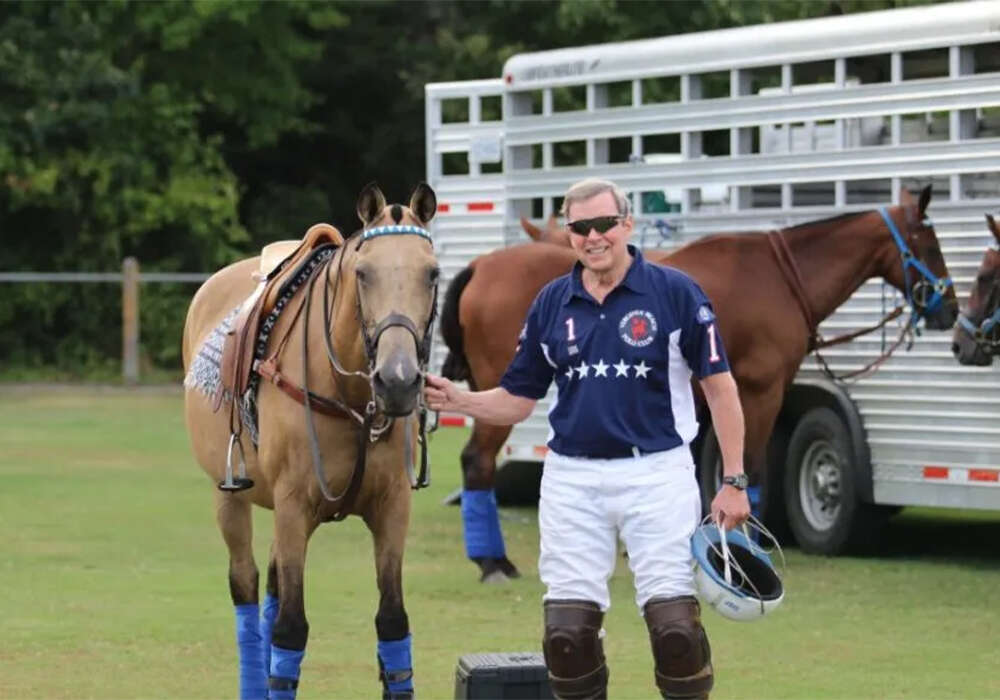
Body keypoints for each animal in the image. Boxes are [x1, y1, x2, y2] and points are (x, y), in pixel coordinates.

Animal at [185, 183, 442, 696]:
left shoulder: (392, 506)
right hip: (230, 494)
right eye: (363, 273)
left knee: (271, 587)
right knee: (246, 587)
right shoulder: (293, 504)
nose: (398, 381)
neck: (349, 395)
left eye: (432, 273)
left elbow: (392, 623)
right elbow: (290, 629)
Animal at [444, 185, 952, 580]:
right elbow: (749, 468)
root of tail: (482, 265)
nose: (948, 308)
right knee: (477, 461)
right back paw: (492, 562)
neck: (781, 276)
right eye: (930, 244)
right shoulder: (761, 390)